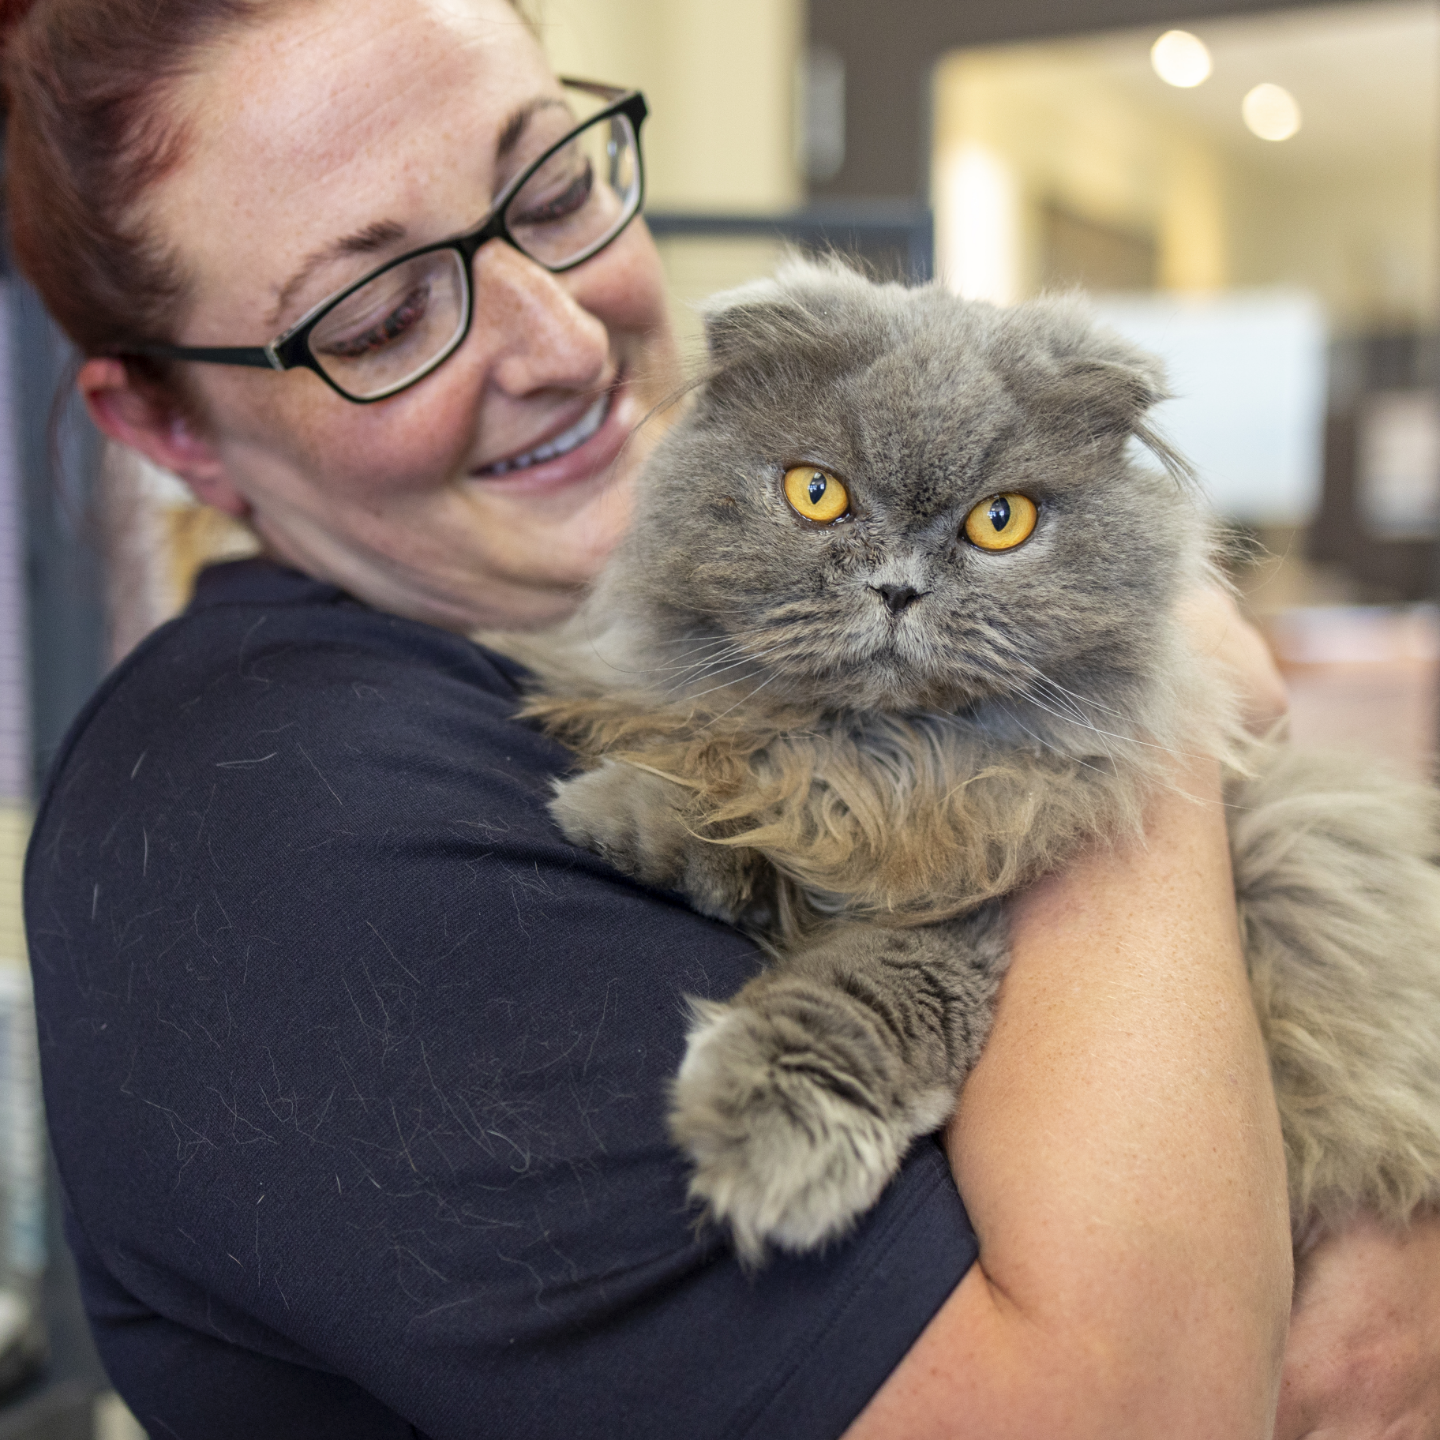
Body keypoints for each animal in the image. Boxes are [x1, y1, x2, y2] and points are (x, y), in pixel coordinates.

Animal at [489, 259, 1440, 1261]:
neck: (891, 754)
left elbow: (870, 989)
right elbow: (740, 787)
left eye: (1000, 521)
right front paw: (627, 813)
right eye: (817, 494)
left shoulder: (970, 895)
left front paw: (770, 1133)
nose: (899, 589)